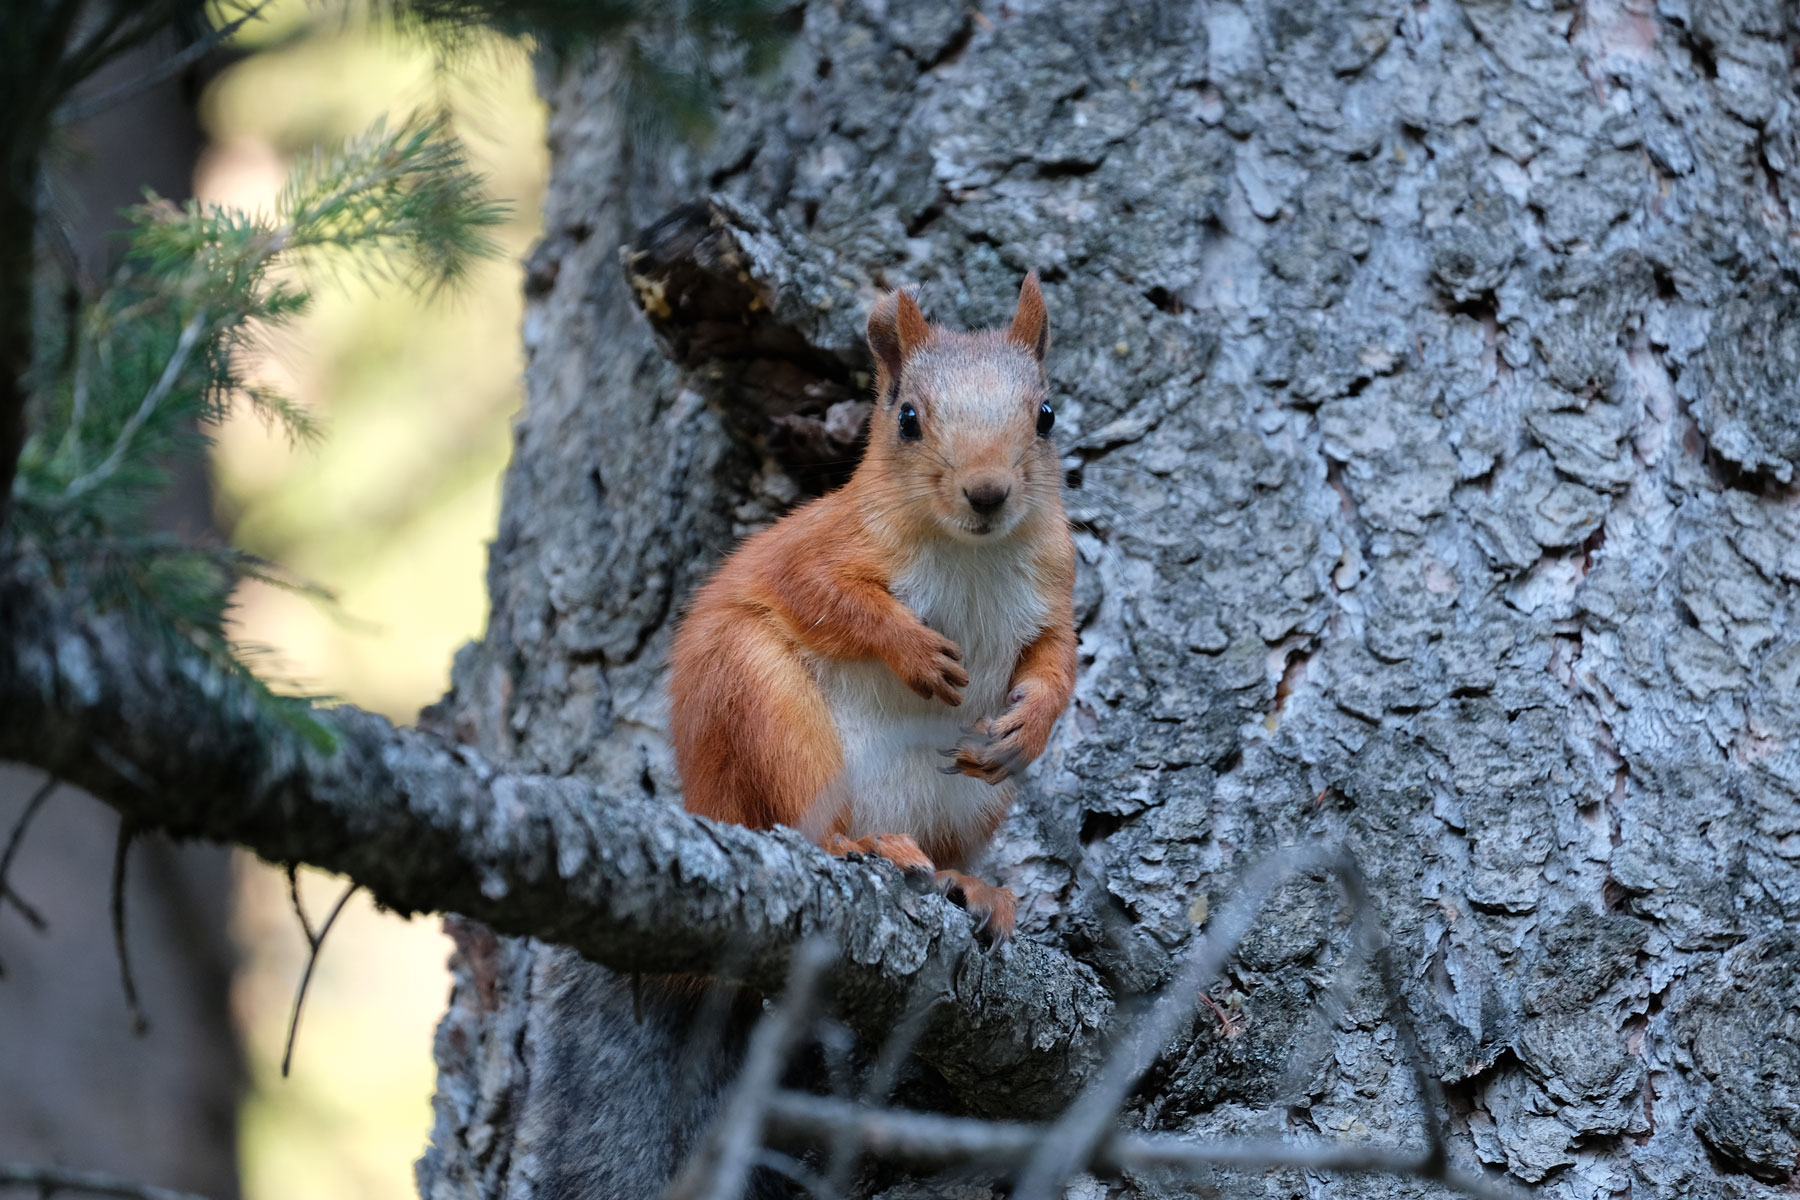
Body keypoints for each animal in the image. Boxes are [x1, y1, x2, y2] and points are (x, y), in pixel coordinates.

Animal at [669, 275, 1072, 949]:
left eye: (1046, 415)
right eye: (908, 418)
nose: (987, 491)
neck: (970, 551)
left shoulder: (1055, 587)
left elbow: (1058, 660)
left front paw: (1031, 725)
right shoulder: (820, 546)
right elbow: (825, 595)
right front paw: (914, 650)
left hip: (970, 802)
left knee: (944, 848)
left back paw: (968, 883)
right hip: (765, 708)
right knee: (803, 824)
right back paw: (864, 844)